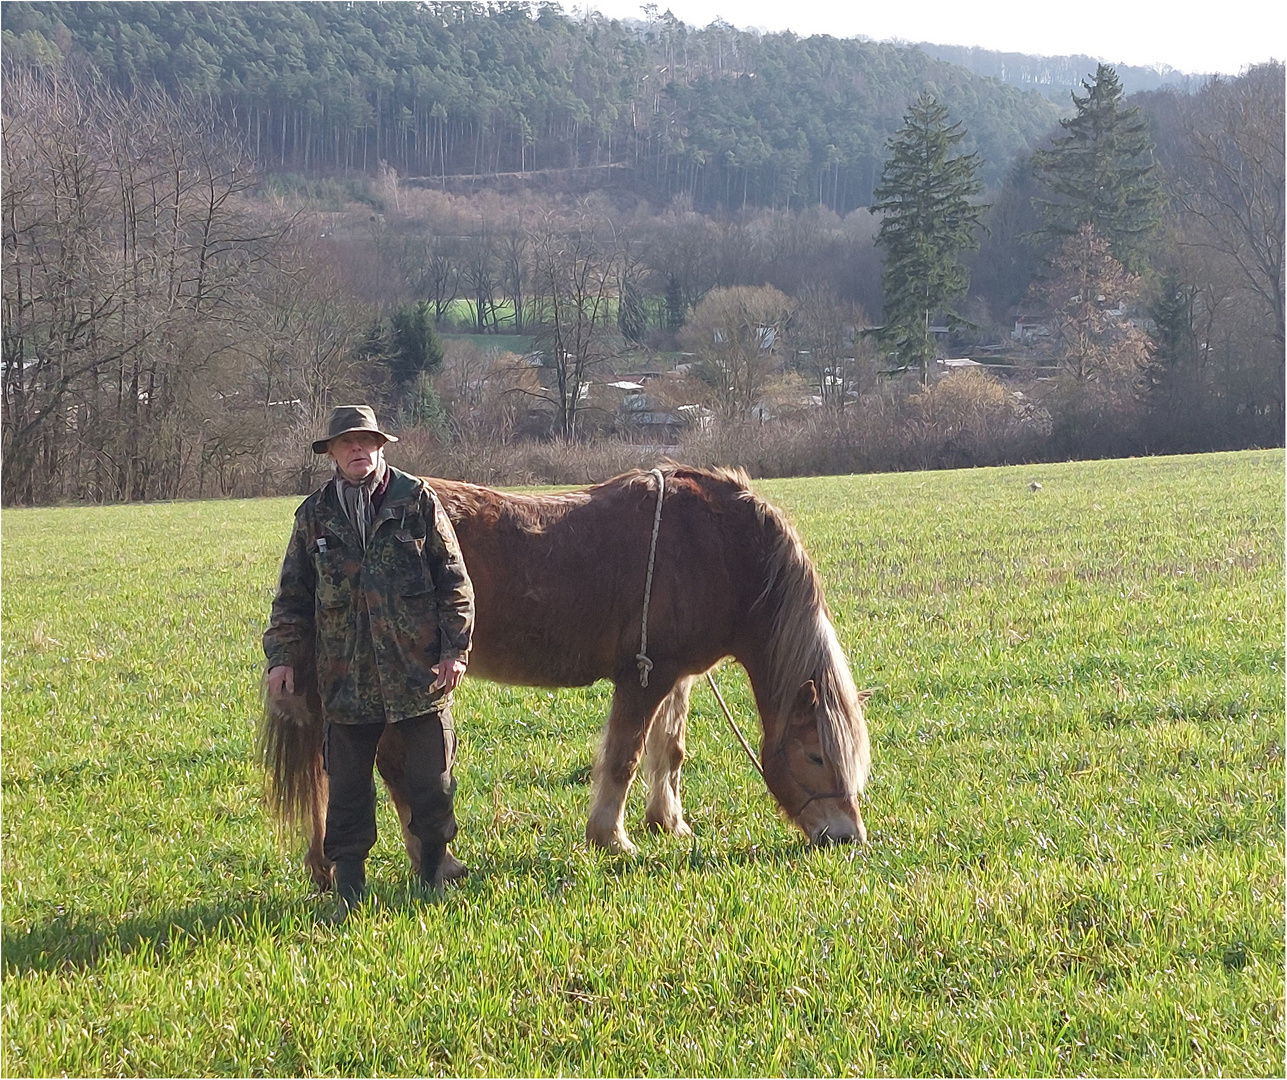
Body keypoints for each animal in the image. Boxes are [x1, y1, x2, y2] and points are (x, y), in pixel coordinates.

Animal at [266, 460, 880, 890]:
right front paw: (613, 840)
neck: (720, 549)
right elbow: (625, 756)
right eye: (816, 756)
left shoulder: (678, 675)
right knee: (389, 767)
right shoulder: (644, 678)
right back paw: (429, 864)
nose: (846, 838)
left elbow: (670, 749)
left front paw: (669, 823)